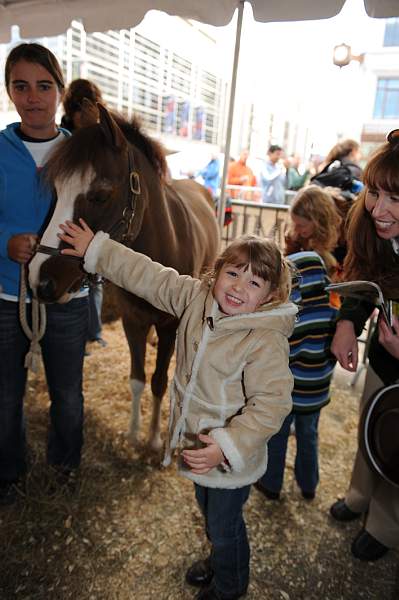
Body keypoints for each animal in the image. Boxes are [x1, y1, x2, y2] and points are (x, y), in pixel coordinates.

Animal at [29, 103, 220, 450]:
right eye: (57, 191)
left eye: (100, 195)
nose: (40, 280)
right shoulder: (132, 320)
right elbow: (137, 380)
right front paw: (133, 434)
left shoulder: (171, 326)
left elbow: (158, 382)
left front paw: (154, 438)